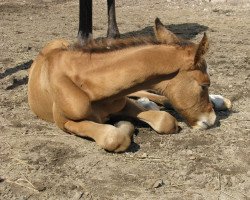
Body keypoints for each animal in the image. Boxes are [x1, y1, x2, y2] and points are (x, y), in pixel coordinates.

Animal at [28, 19, 217, 153]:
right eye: (204, 84)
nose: (211, 120)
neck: (89, 87)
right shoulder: (64, 122)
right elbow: (114, 137)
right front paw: (123, 125)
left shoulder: (122, 102)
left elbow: (165, 120)